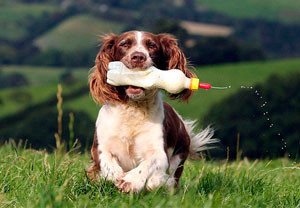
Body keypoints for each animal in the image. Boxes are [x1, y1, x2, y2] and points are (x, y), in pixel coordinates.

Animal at [86, 30, 216, 193]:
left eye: (152, 46)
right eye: (124, 44)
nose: (138, 57)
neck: (133, 108)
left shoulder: (160, 152)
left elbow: (148, 164)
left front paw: (130, 181)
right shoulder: (100, 147)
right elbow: (107, 164)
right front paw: (117, 177)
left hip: (181, 153)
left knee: (170, 179)